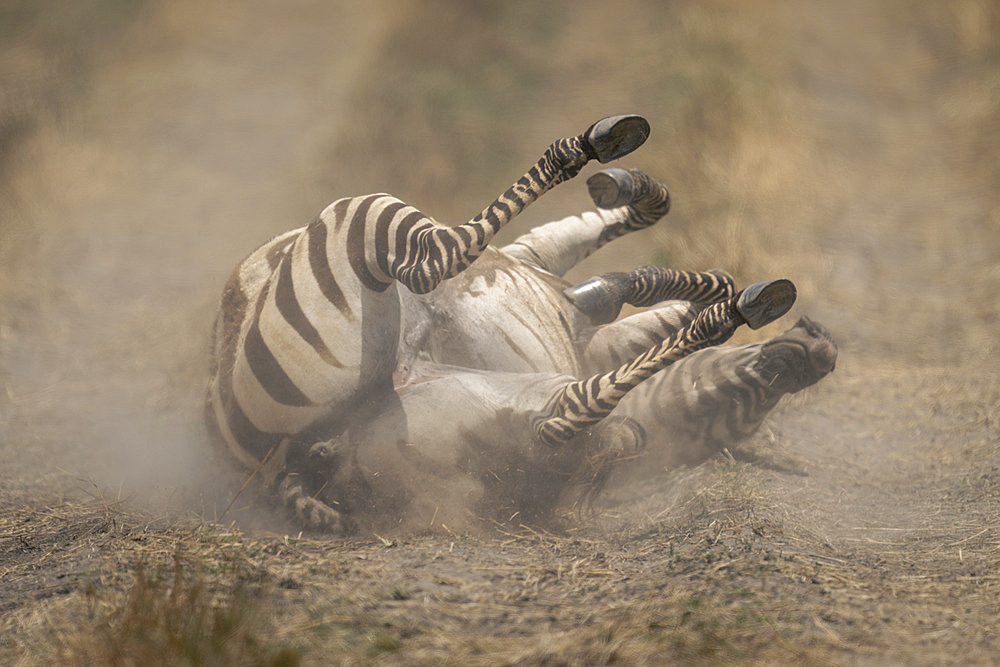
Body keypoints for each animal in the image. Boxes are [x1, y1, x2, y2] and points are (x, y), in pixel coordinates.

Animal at [205, 113, 836, 532]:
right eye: (751, 400)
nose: (818, 351)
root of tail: (303, 462)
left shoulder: (569, 311)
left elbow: (668, 284)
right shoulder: (544, 261)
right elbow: (656, 247)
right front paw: (625, 201)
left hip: (366, 243)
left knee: (443, 266)